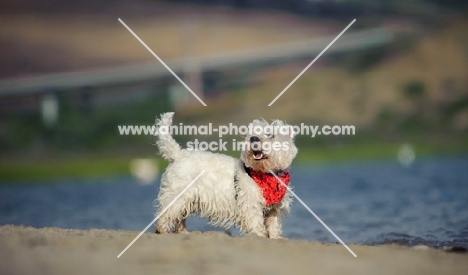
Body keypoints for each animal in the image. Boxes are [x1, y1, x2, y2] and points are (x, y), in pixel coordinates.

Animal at [155, 113, 298, 238]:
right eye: (252, 134)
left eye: (270, 135)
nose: (253, 138)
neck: (267, 174)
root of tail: (178, 154)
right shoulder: (250, 202)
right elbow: (256, 222)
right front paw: (259, 236)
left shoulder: (274, 208)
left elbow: (273, 224)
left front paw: (275, 237)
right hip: (178, 194)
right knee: (167, 214)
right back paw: (163, 231)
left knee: (180, 216)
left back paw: (183, 232)